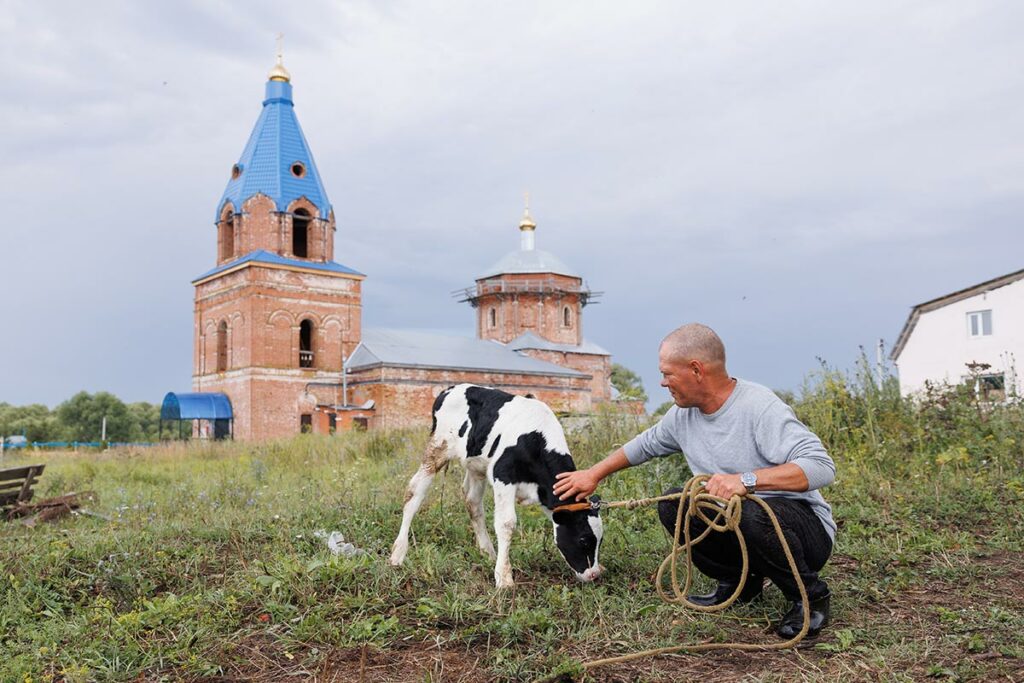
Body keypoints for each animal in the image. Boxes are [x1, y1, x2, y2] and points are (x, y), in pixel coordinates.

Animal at [387, 385, 602, 589]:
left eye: (600, 540)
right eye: (584, 540)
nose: (594, 575)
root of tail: (449, 389)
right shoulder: (503, 476)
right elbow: (507, 523)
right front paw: (504, 578)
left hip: (476, 466)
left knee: (472, 503)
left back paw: (487, 552)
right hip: (437, 449)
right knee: (414, 493)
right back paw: (398, 554)